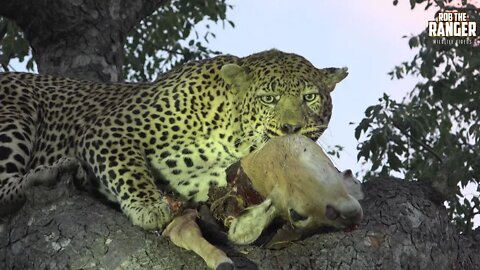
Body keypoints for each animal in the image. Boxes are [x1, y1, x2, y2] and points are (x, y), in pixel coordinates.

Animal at [0, 49, 346, 233]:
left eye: (310, 97)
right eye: (269, 99)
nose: (292, 128)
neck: (231, 137)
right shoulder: (110, 129)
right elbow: (129, 169)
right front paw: (148, 206)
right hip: (15, 114)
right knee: (4, 188)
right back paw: (50, 172)